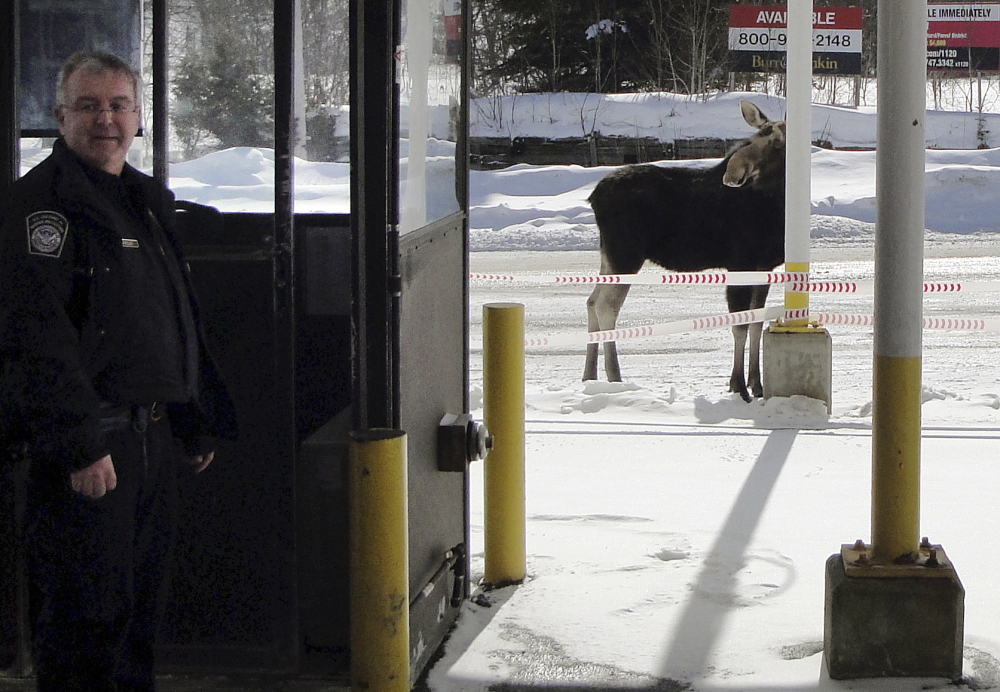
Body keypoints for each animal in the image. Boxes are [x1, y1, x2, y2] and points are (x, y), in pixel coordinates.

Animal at [584, 98, 784, 400]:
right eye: (754, 138)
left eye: (776, 142)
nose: (733, 171)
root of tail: (593, 197)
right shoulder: (741, 262)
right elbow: (739, 326)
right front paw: (738, 386)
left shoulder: (764, 266)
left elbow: (756, 323)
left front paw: (757, 384)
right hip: (625, 254)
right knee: (607, 306)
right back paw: (615, 376)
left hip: (608, 255)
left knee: (591, 301)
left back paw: (590, 375)